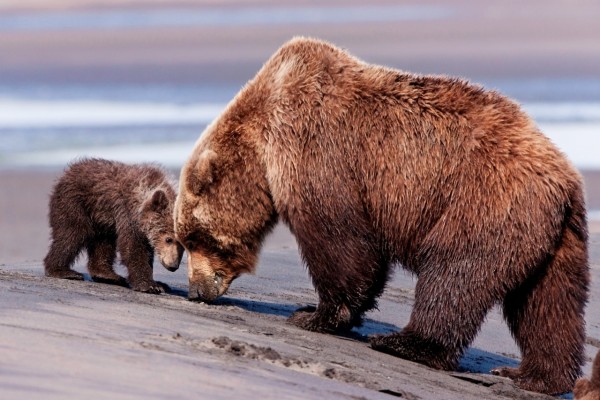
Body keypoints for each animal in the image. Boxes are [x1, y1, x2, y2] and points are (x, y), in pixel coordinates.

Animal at [176, 36, 588, 394]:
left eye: (194, 238)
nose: (196, 290)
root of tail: (566, 178)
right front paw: (321, 310)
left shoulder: (316, 148)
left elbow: (340, 241)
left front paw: (314, 314)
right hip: (555, 238)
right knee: (548, 306)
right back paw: (531, 375)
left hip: (483, 200)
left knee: (454, 271)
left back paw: (404, 342)